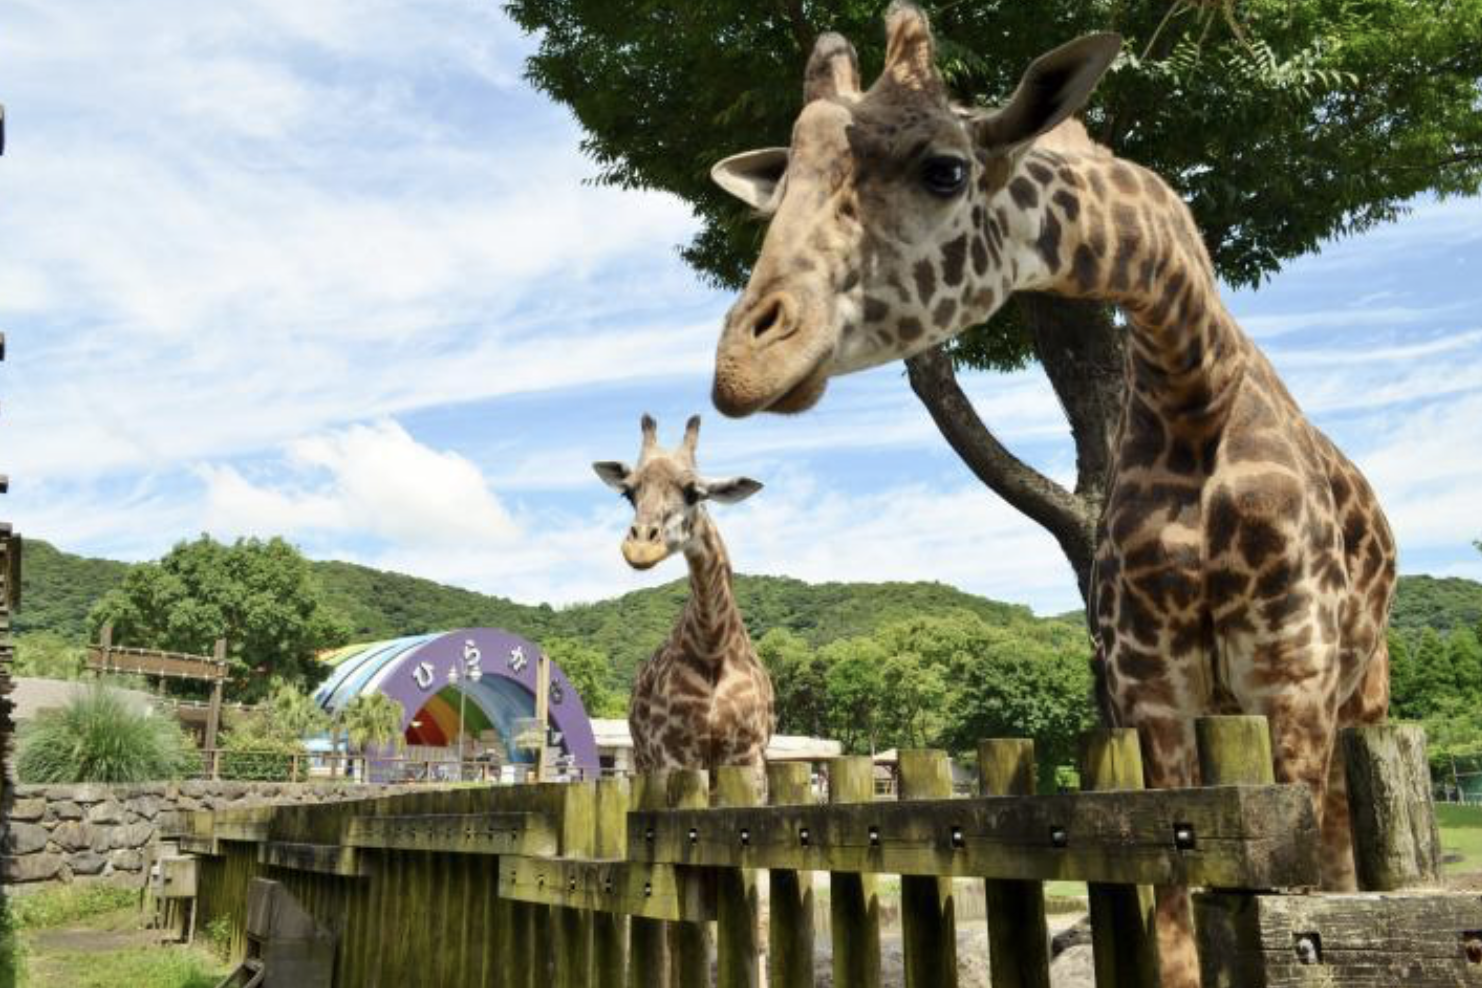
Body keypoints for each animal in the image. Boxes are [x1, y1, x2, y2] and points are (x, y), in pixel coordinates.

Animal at [589, 414, 776, 776]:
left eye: (694, 493)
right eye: (629, 494)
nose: (640, 548)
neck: (714, 644)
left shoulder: (747, 752)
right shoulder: (673, 752)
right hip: (643, 758)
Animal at [711, 5, 1393, 983]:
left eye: (945, 168)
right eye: (782, 188)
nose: (741, 364)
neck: (1194, 392)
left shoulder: (1289, 670)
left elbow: (1300, 906)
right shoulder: (1152, 684)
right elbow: (1179, 930)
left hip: (1360, 688)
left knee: (1343, 848)